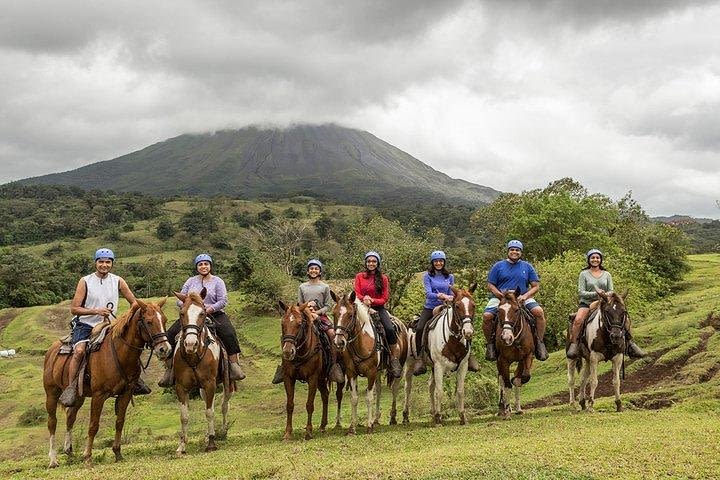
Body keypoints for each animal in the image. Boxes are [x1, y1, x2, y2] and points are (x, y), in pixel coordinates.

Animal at [43, 298, 171, 466]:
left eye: (165, 320)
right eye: (149, 322)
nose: (165, 349)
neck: (119, 353)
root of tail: (51, 351)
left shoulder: (125, 393)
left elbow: (119, 422)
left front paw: (117, 452)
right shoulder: (99, 395)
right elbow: (93, 425)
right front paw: (87, 456)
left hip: (79, 396)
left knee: (70, 416)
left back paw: (69, 452)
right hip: (51, 393)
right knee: (52, 422)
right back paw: (53, 459)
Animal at [173, 290, 232, 456]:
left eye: (202, 313)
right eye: (182, 313)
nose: (190, 344)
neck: (194, 355)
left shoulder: (210, 384)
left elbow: (210, 412)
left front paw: (211, 443)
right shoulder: (181, 387)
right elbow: (184, 416)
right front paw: (182, 446)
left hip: (227, 384)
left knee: (224, 405)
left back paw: (222, 431)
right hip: (202, 390)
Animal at [278, 302, 334, 440]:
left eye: (299, 324)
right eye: (283, 324)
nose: (288, 352)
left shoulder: (312, 378)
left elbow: (309, 405)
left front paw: (308, 431)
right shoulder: (288, 378)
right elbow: (289, 405)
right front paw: (288, 433)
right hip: (321, 379)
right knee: (325, 395)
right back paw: (322, 425)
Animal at [330, 288, 408, 436]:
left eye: (350, 315)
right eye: (334, 313)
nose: (339, 342)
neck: (361, 342)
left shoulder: (371, 372)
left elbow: (369, 397)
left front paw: (369, 426)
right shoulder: (351, 373)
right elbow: (354, 398)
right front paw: (352, 428)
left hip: (399, 367)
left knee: (394, 388)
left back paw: (393, 418)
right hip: (378, 371)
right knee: (379, 390)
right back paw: (376, 419)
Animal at [496, 290, 536, 418]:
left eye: (516, 310)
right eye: (499, 311)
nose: (506, 338)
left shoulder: (527, 356)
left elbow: (522, 378)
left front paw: (516, 408)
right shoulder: (503, 360)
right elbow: (507, 384)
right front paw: (507, 411)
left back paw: (516, 408)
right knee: (502, 381)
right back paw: (502, 408)